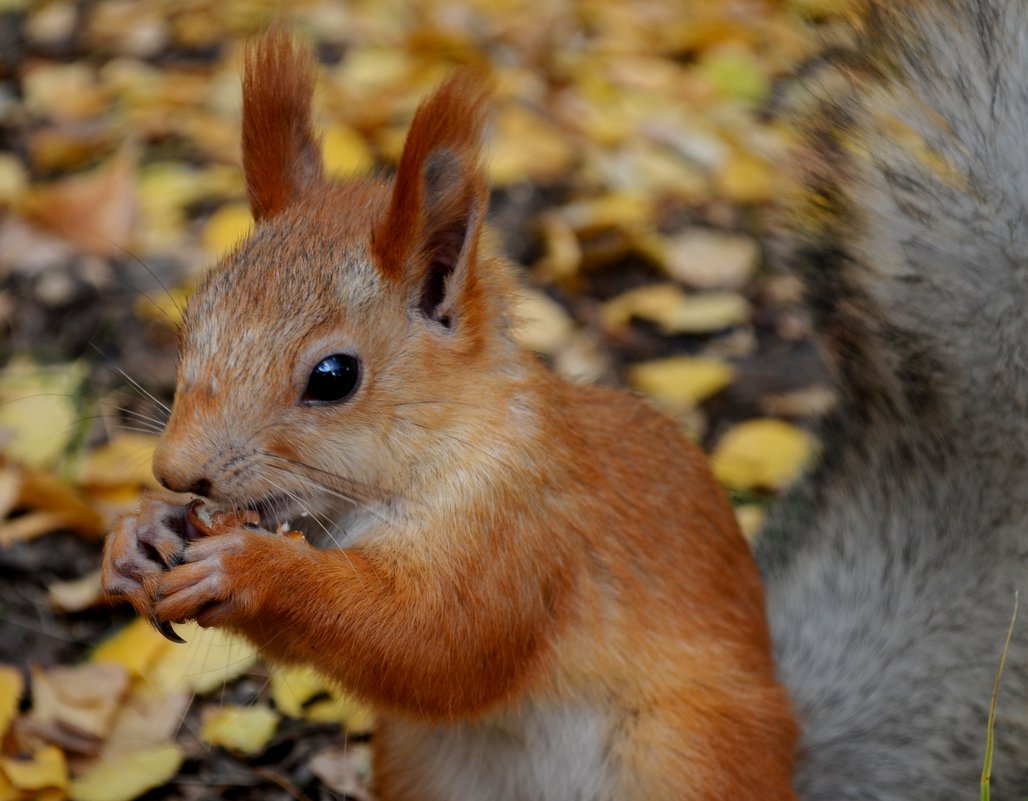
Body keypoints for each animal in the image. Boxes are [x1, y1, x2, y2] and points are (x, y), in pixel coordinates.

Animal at [100, 28, 797, 797]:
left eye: (334, 377)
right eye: (190, 327)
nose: (175, 470)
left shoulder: (525, 528)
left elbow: (436, 643)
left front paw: (251, 569)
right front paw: (139, 533)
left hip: (686, 751)